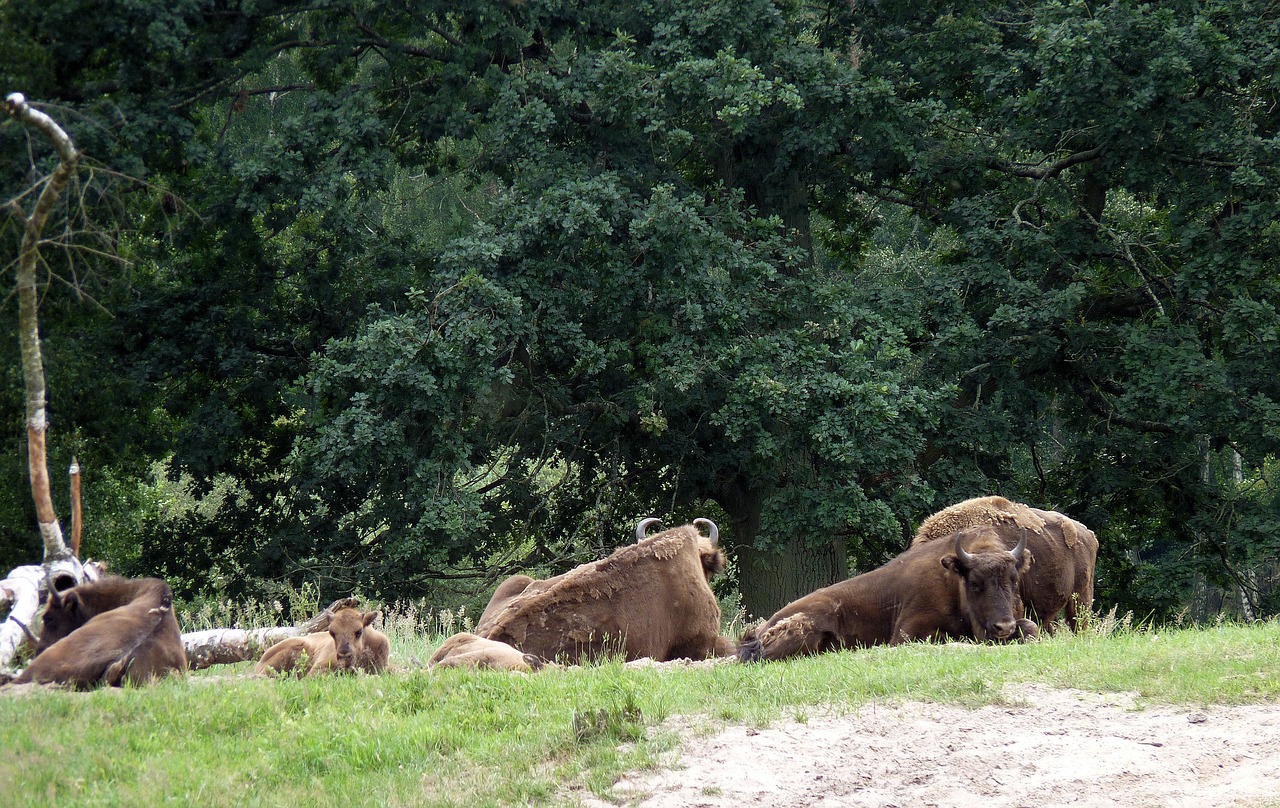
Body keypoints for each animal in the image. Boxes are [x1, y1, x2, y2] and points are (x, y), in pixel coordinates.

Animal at [737, 525, 1034, 665]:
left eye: (1013, 580)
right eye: (974, 583)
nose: (1004, 627)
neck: (951, 580)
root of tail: (761, 628)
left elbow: (1030, 627)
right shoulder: (906, 633)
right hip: (805, 625)